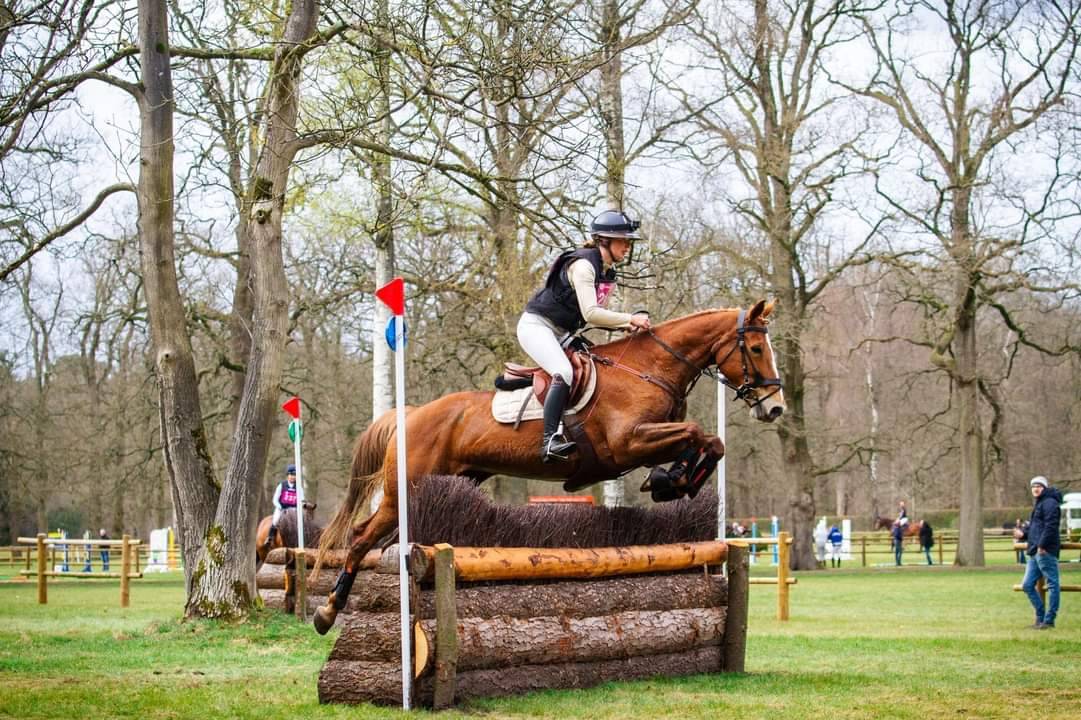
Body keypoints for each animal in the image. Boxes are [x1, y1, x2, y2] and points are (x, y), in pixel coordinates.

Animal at [312, 300, 786, 634]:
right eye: (756, 349)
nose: (775, 407)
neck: (648, 369)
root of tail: (409, 414)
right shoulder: (628, 444)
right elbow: (695, 432)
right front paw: (670, 480)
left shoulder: (647, 441)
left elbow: (709, 440)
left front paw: (673, 481)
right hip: (403, 493)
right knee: (360, 538)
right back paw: (326, 612)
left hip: (441, 487)